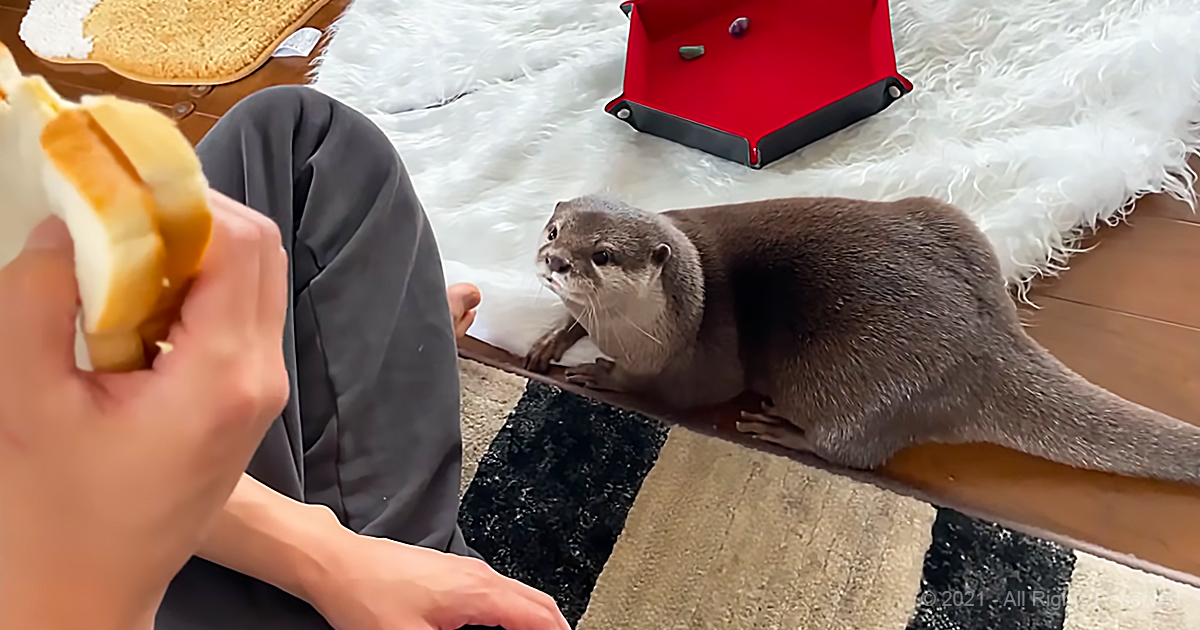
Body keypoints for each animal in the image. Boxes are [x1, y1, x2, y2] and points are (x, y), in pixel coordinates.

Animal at [523, 194, 1200, 483]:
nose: (555, 260)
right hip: (949, 219)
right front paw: (550, 339)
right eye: (554, 230)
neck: (646, 329)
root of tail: (988, 342)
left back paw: (782, 431)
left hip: (838, 375)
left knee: (854, 450)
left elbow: (671, 392)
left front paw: (602, 373)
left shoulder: (699, 357)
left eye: (603, 253)